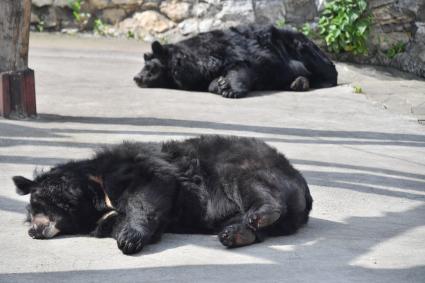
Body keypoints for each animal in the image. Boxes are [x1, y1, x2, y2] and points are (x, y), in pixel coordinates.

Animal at [12, 135, 312, 255]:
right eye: (32, 214)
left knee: (252, 187)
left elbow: (149, 190)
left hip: (243, 164)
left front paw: (130, 238)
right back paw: (236, 234)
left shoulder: (138, 167)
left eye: (38, 205)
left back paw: (260, 214)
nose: (33, 231)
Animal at [134, 24, 336, 100]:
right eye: (144, 64)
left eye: (149, 67)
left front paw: (228, 88)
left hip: (301, 48)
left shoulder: (228, 52)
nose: (136, 78)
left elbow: (241, 66)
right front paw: (218, 83)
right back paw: (298, 82)